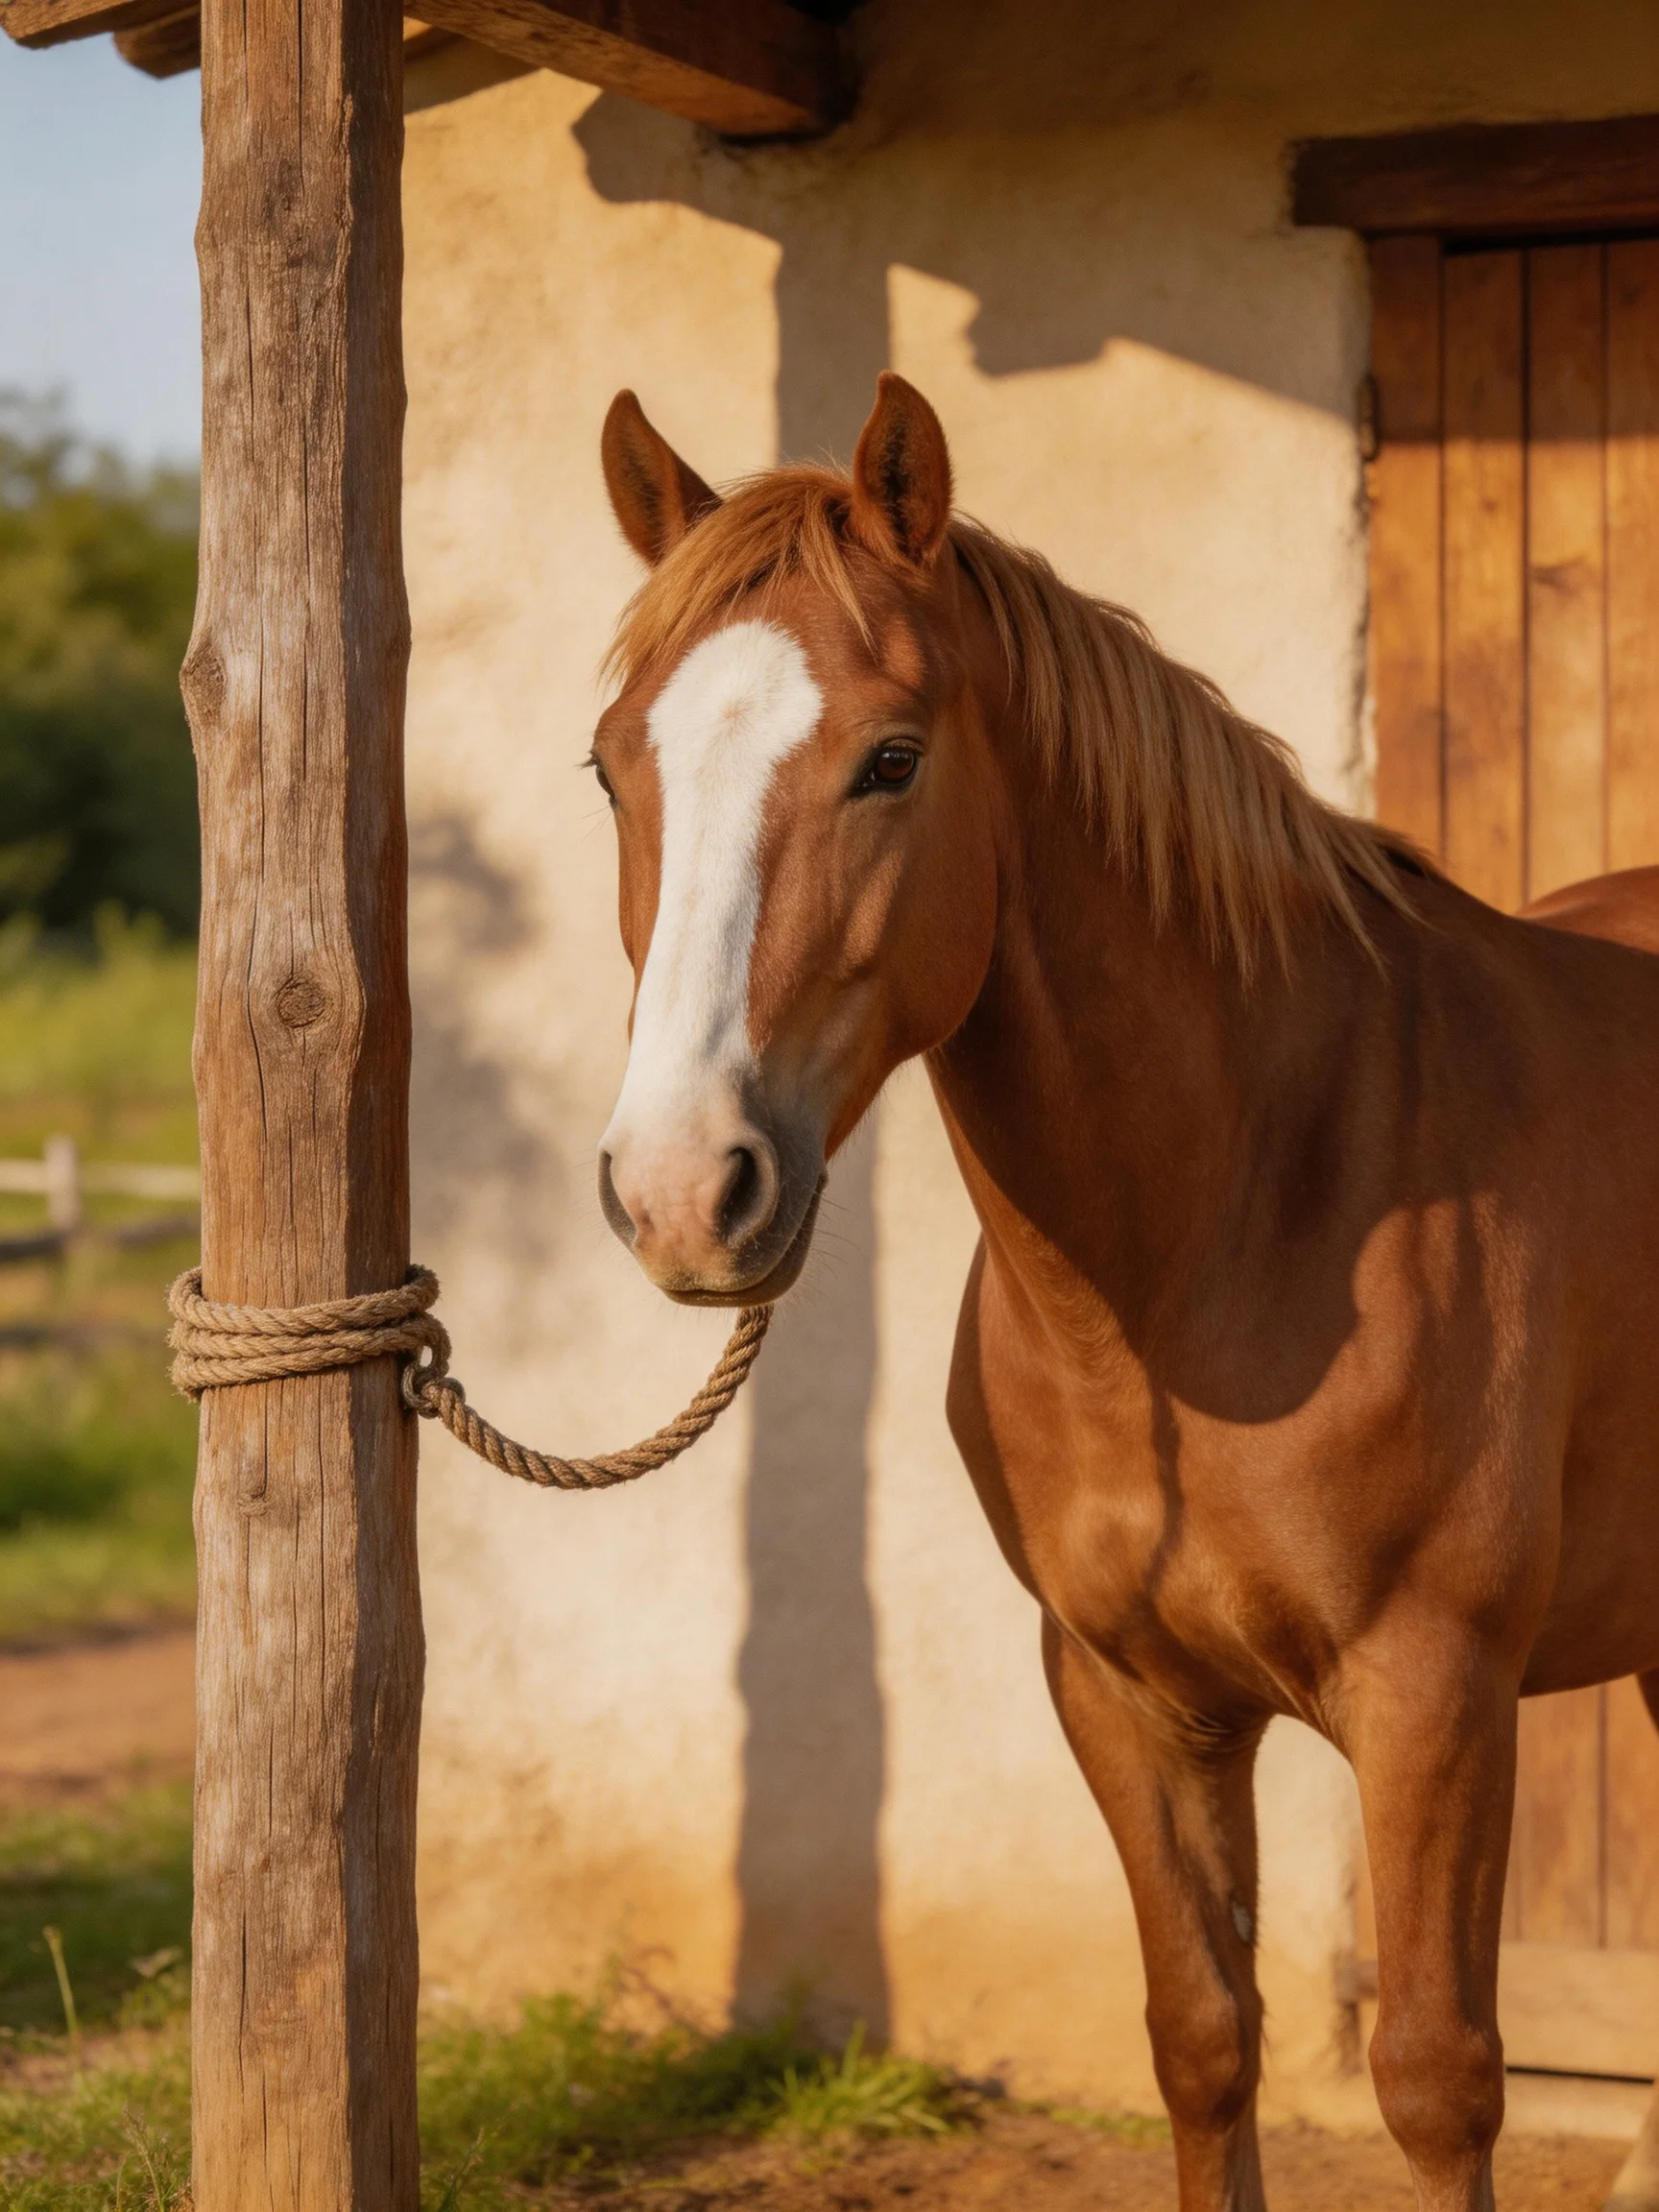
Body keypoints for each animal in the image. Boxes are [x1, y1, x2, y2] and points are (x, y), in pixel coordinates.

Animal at [585, 371, 1659, 2212]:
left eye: (889, 758)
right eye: (608, 771)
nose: (678, 1188)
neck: (1234, 1233)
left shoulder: (1436, 1694)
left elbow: (1437, 2078)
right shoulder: (1125, 1694)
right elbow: (1202, 2037)